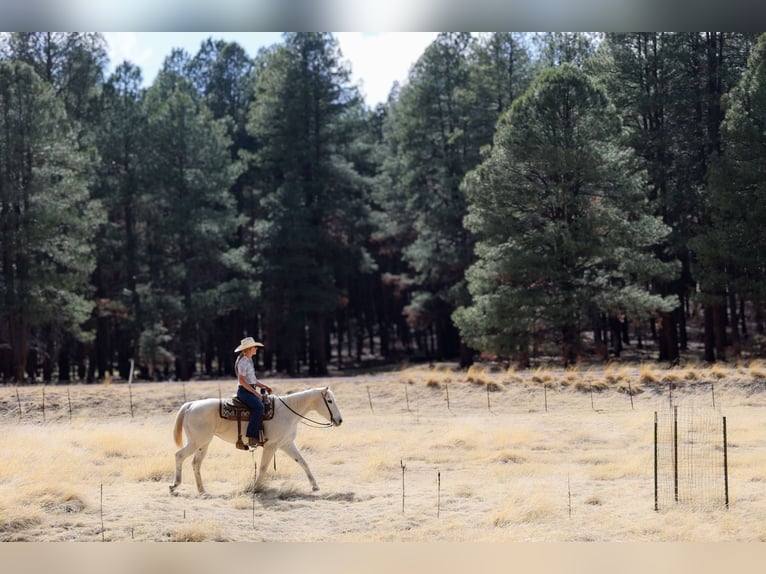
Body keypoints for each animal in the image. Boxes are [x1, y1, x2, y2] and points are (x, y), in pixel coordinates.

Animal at [169, 386, 343, 495]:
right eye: (329, 401)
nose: (339, 420)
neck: (287, 412)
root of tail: (191, 405)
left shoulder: (286, 444)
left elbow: (303, 462)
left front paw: (315, 486)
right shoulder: (271, 446)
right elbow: (263, 468)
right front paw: (255, 487)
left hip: (203, 444)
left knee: (196, 463)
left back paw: (202, 490)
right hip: (196, 442)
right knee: (179, 456)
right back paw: (174, 485)